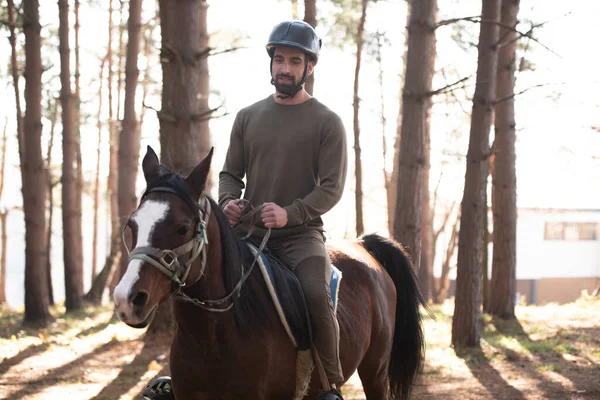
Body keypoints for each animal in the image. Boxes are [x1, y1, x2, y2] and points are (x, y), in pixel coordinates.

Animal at [113, 148, 426, 400]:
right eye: (133, 224)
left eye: (182, 227)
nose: (128, 299)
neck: (213, 336)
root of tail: (363, 245)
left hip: (375, 371)